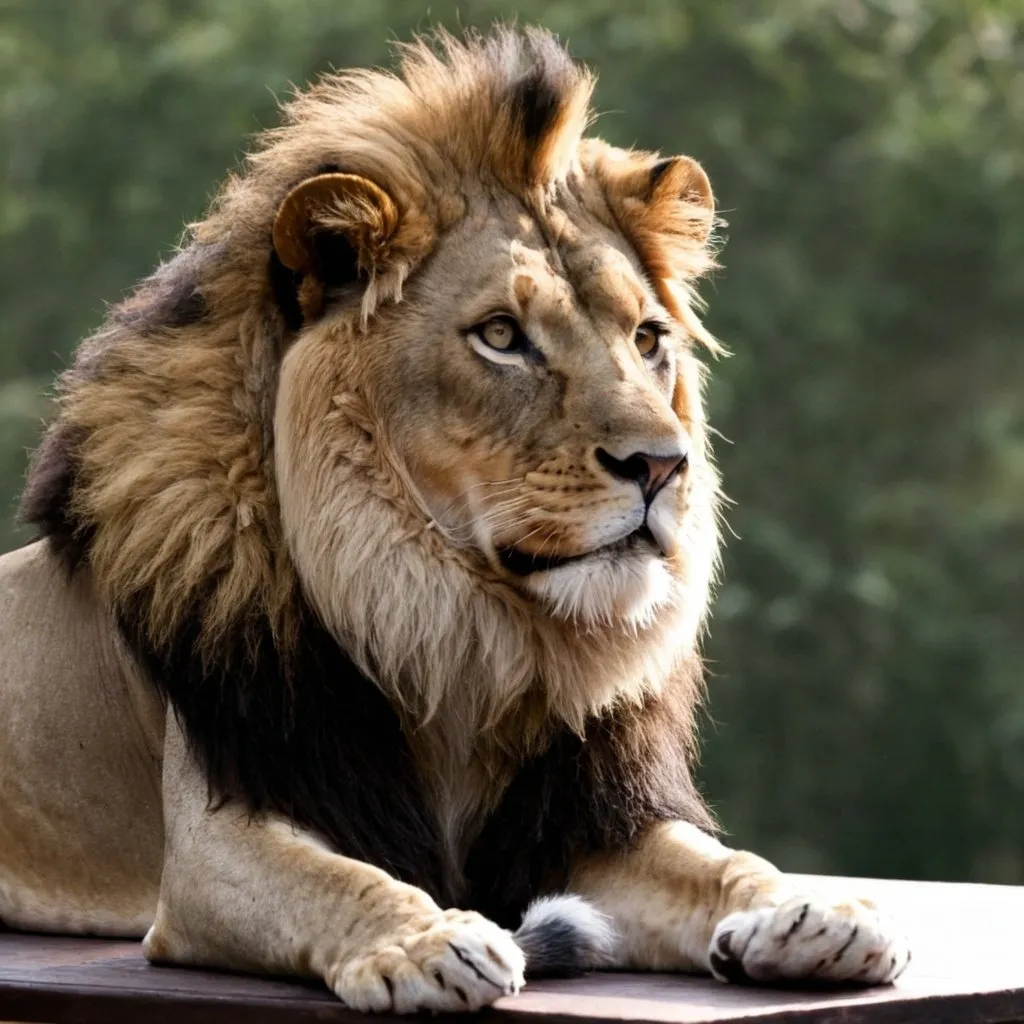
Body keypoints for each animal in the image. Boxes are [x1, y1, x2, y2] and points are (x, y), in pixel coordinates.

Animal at [0, 28, 913, 1011]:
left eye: (647, 338)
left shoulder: (579, 822)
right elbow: (341, 881)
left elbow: (720, 862)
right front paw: (428, 941)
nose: (663, 465)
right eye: (502, 335)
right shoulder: (218, 842)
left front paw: (820, 912)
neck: (459, 635)